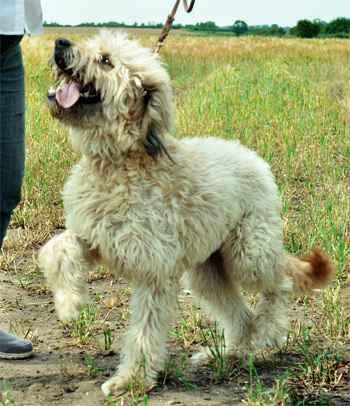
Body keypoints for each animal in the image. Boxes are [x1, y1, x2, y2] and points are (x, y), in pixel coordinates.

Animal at [39, 29, 334, 396]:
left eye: (106, 60)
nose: (60, 42)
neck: (119, 160)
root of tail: (252, 157)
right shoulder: (94, 236)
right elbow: (55, 250)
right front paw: (68, 302)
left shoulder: (153, 270)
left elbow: (144, 332)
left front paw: (131, 380)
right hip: (207, 270)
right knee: (240, 315)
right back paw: (227, 354)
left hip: (249, 251)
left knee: (278, 284)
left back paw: (269, 330)